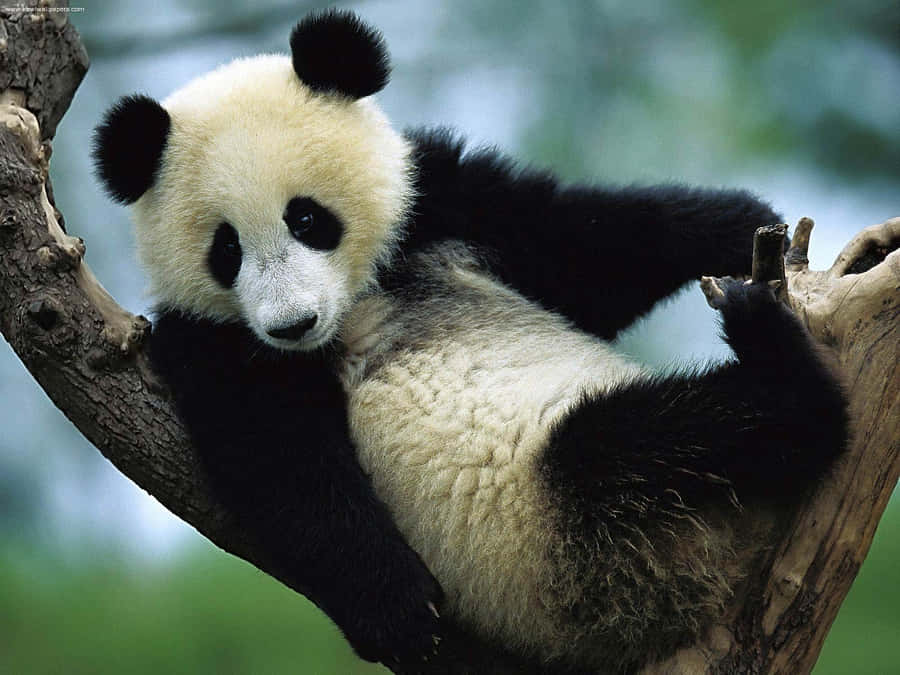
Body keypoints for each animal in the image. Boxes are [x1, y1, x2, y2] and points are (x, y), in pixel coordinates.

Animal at [92, 10, 848, 674]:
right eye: (227, 250)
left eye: (306, 218)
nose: (292, 324)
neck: (358, 301)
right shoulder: (214, 342)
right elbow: (282, 461)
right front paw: (396, 608)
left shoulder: (441, 205)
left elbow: (582, 244)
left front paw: (740, 222)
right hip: (583, 543)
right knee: (646, 442)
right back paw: (775, 362)